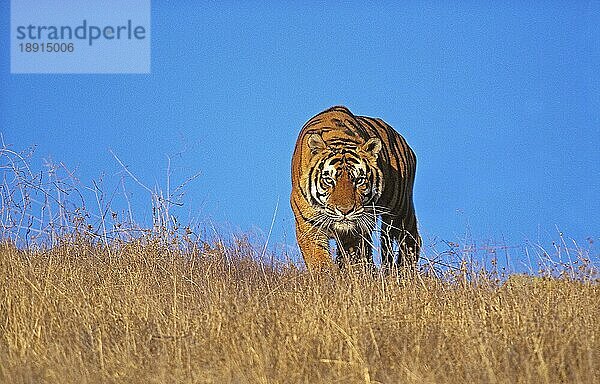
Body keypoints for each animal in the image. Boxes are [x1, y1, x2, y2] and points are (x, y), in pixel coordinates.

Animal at [290, 106, 420, 272]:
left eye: (359, 180)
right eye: (329, 180)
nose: (345, 211)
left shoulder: (355, 232)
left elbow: (353, 259)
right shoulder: (309, 226)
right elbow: (320, 262)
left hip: (399, 210)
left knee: (412, 240)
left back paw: (403, 271)